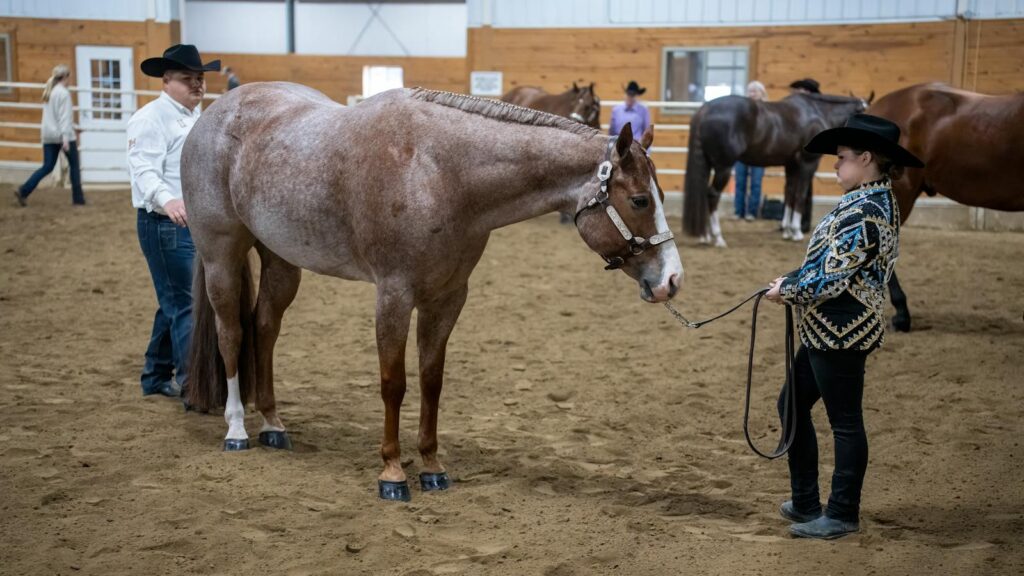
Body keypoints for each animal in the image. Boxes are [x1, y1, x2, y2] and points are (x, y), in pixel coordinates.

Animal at [181, 82, 682, 502]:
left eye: (660, 195)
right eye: (639, 200)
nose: (672, 280)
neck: (437, 170)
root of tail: (213, 115)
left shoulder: (447, 297)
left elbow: (431, 381)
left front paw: (432, 466)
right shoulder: (393, 295)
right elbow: (393, 383)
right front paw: (392, 472)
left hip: (282, 262)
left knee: (264, 328)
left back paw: (272, 424)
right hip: (221, 255)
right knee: (231, 334)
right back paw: (237, 430)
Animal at [682, 92, 870, 247]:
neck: (816, 112)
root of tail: (705, 109)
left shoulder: (791, 165)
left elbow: (789, 194)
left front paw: (787, 230)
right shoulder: (807, 164)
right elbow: (800, 196)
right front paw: (796, 232)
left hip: (708, 165)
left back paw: (704, 235)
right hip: (724, 168)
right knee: (712, 195)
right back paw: (718, 237)